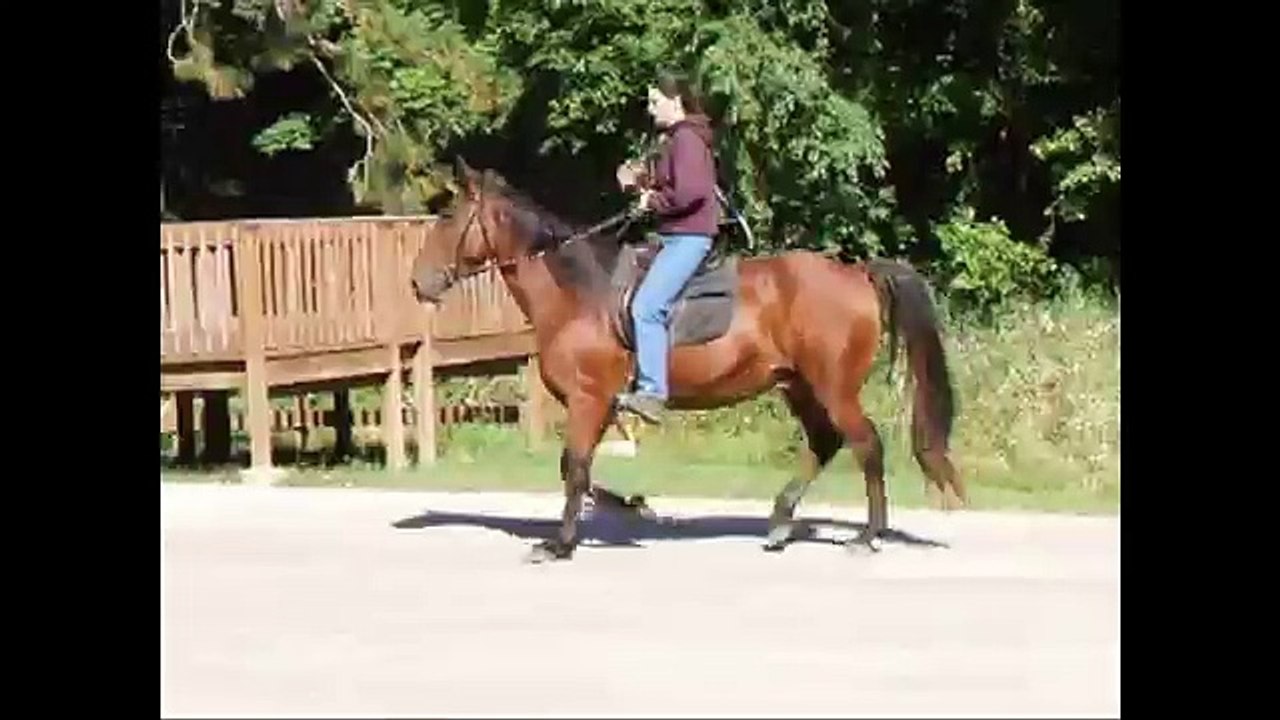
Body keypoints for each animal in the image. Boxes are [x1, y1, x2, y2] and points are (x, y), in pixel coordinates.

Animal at [410, 158, 966, 563]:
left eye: (448, 217)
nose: (419, 282)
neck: (580, 294)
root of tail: (856, 274)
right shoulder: (601, 405)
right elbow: (581, 470)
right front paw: (625, 508)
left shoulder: (589, 399)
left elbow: (575, 466)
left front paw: (561, 544)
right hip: (798, 384)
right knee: (824, 442)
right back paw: (780, 524)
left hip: (834, 385)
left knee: (866, 445)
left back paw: (867, 536)